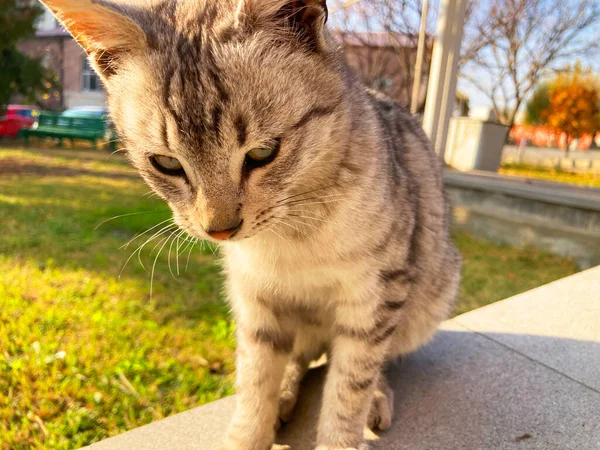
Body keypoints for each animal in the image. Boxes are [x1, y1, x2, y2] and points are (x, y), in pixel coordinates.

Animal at [42, 0, 462, 450]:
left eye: (263, 152)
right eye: (166, 163)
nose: (220, 230)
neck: (292, 235)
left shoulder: (374, 294)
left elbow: (350, 386)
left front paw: (343, 429)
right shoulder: (254, 296)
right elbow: (256, 377)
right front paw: (250, 428)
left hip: (428, 297)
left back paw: (376, 396)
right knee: (301, 356)